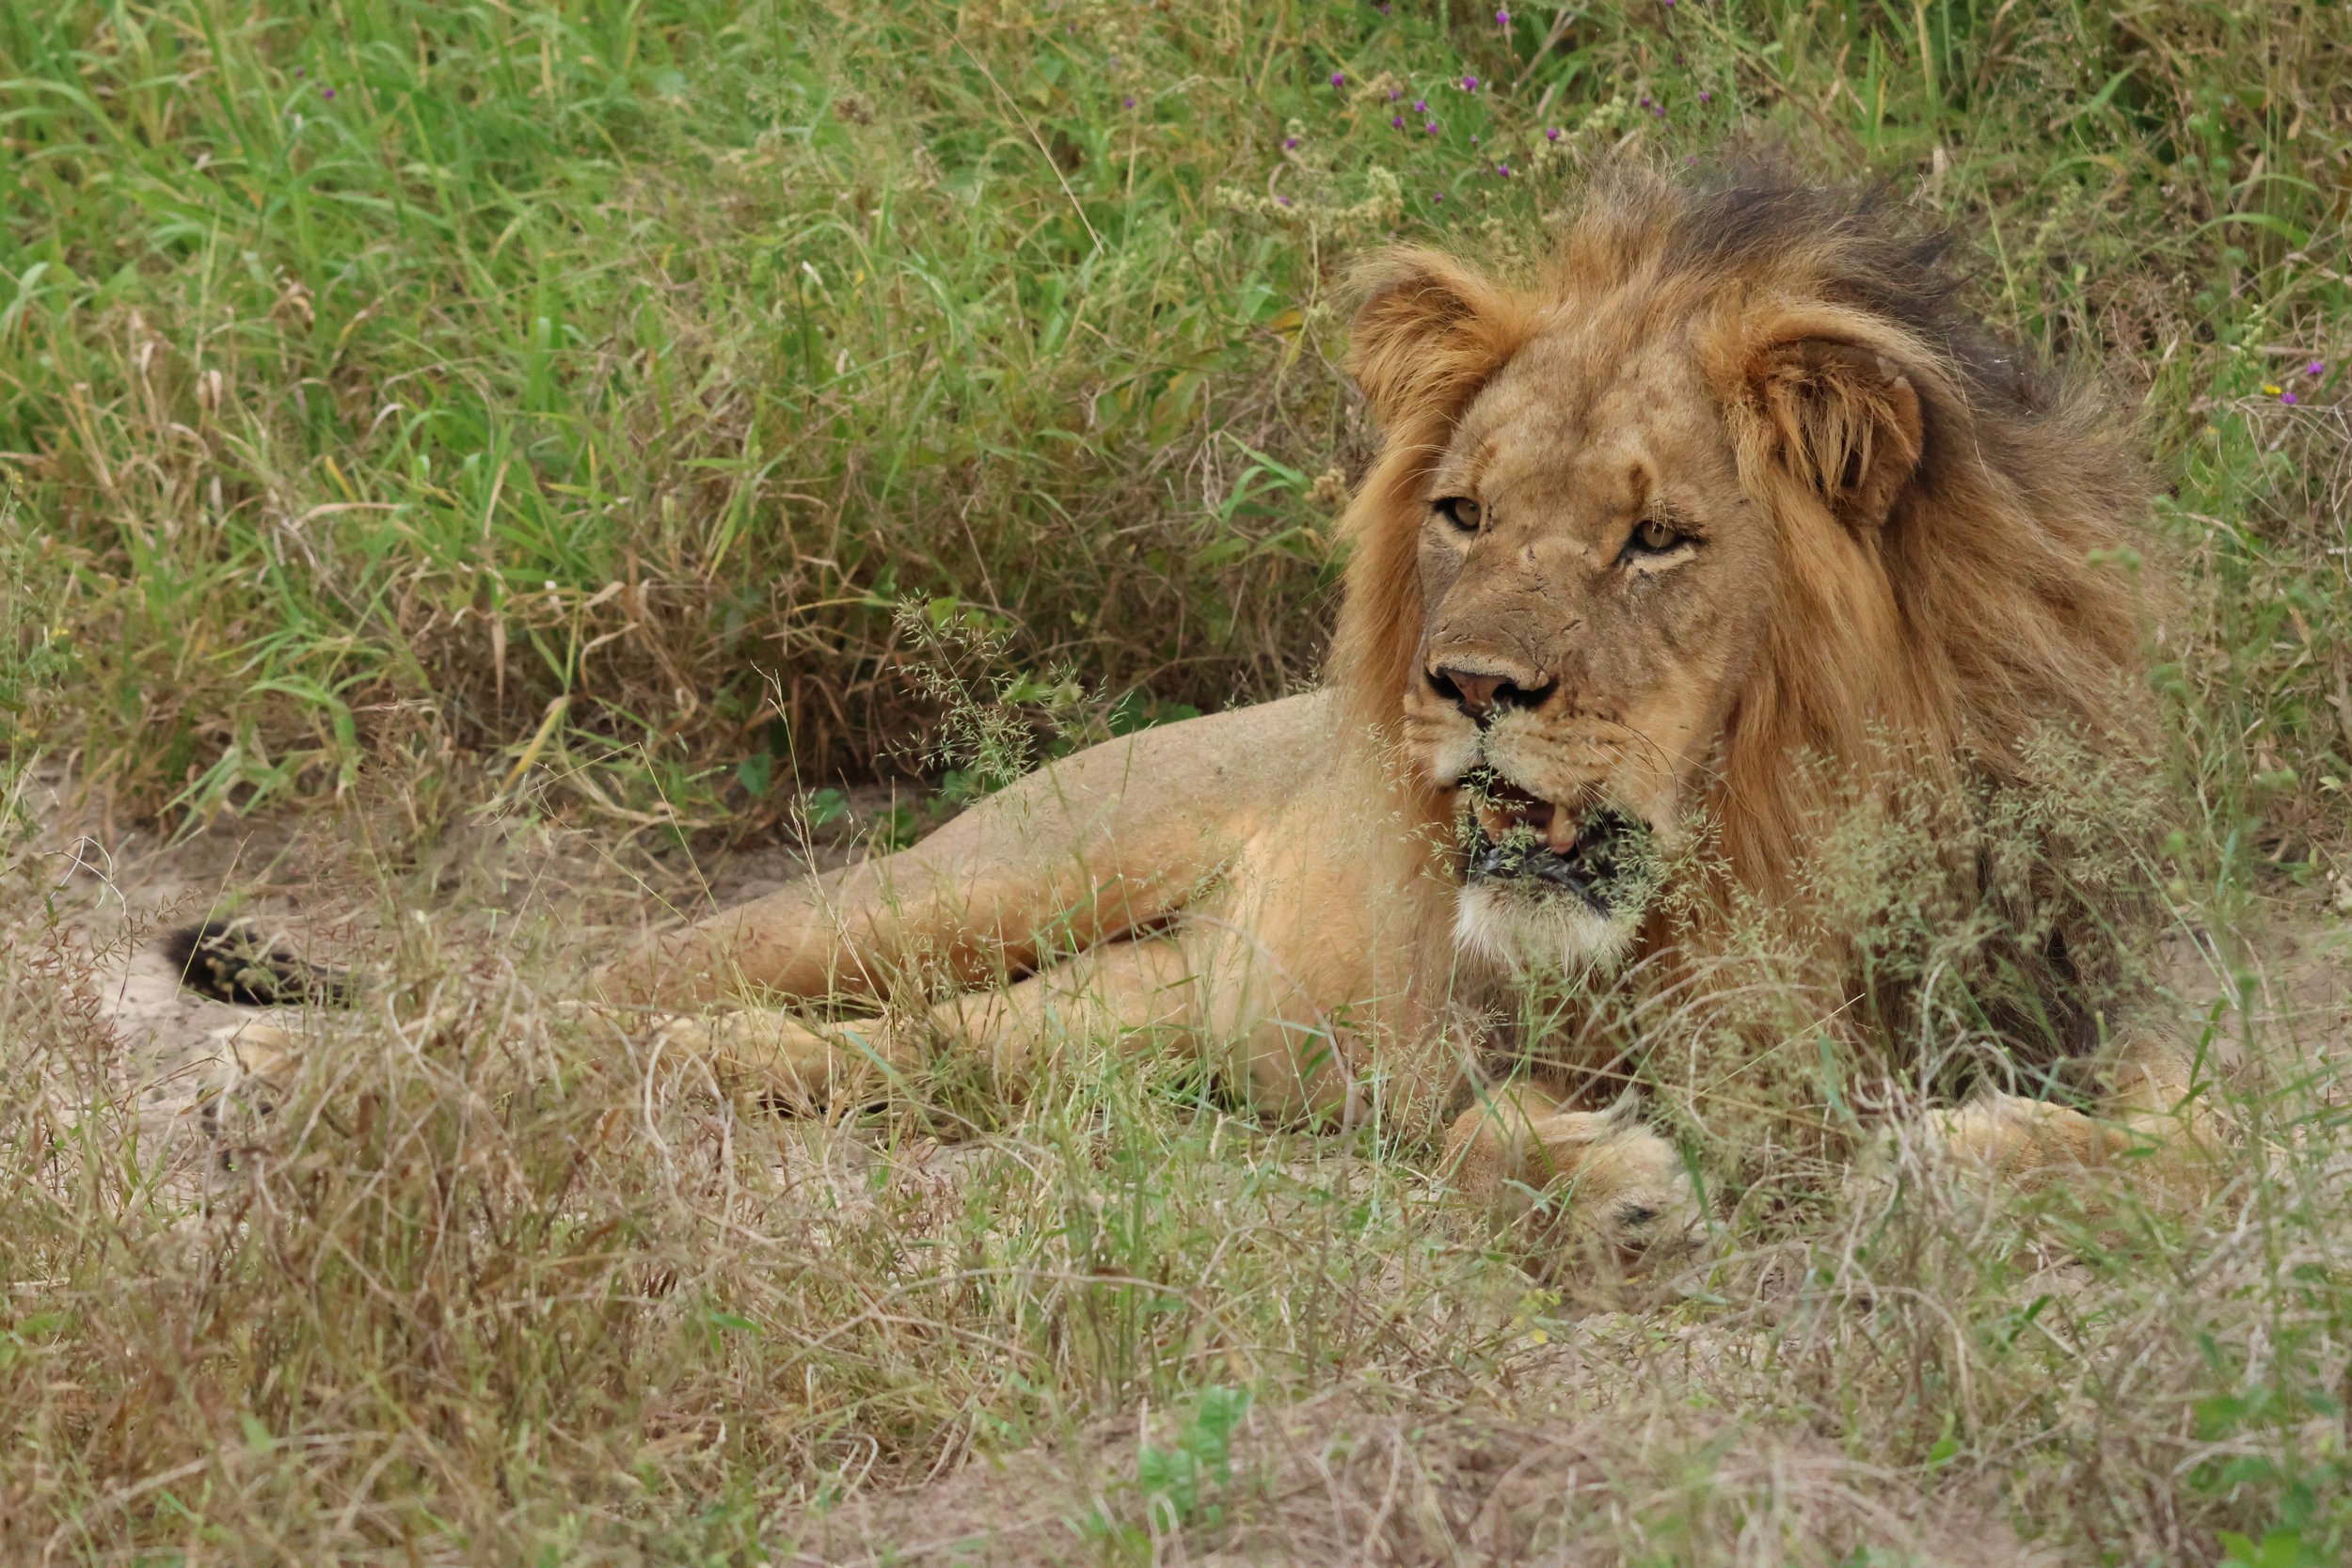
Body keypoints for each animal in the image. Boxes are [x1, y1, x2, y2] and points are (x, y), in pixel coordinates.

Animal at [181, 168, 2214, 1272]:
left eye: (1657, 538)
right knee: (583, 982)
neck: (1769, 856)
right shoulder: (1473, 1047)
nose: (1467, 690)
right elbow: (1487, 1134)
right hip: (960, 883)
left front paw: (1967, 1161)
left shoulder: (2126, 1014)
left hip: (1084, 1039)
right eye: (1462, 512)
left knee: (845, 1055)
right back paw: (302, 1059)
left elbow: (2185, 1145)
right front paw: (1611, 1197)